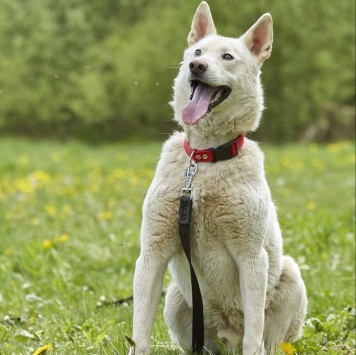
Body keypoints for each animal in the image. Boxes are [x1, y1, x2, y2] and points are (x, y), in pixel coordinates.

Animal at [129, 1, 308, 354]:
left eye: (227, 57)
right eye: (197, 52)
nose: (196, 66)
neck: (205, 159)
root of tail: (228, 337)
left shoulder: (251, 255)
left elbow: (255, 328)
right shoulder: (152, 252)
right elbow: (140, 329)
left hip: (291, 277)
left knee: (266, 339)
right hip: (175, 300)